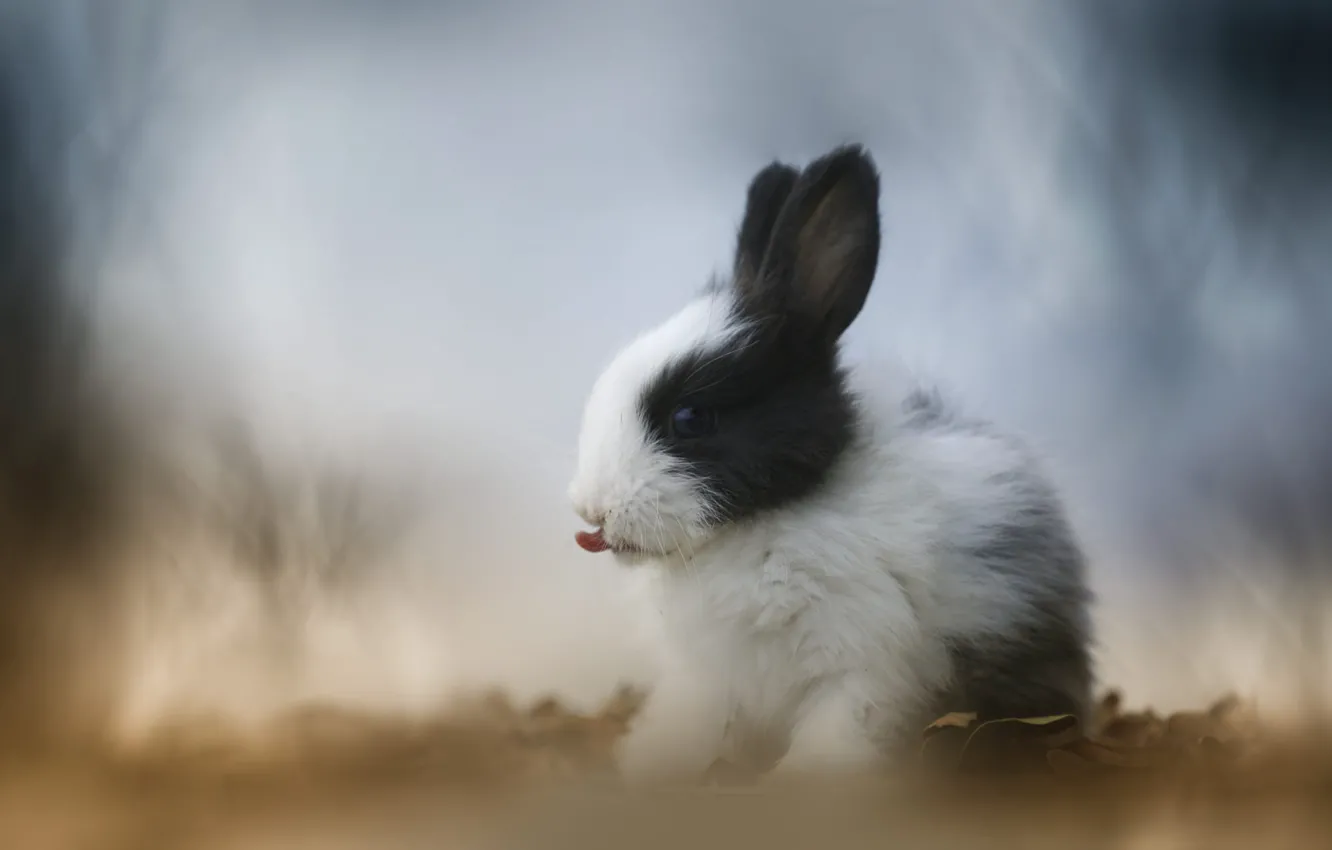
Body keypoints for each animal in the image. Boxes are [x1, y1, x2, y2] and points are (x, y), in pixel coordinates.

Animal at [567, 145, 1093, 779]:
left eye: (691, 419)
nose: (590, 509)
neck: (758, 529)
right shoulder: (708, 676)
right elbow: (692, 722)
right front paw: (651, 763)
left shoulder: (863, 660)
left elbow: (839, 729)